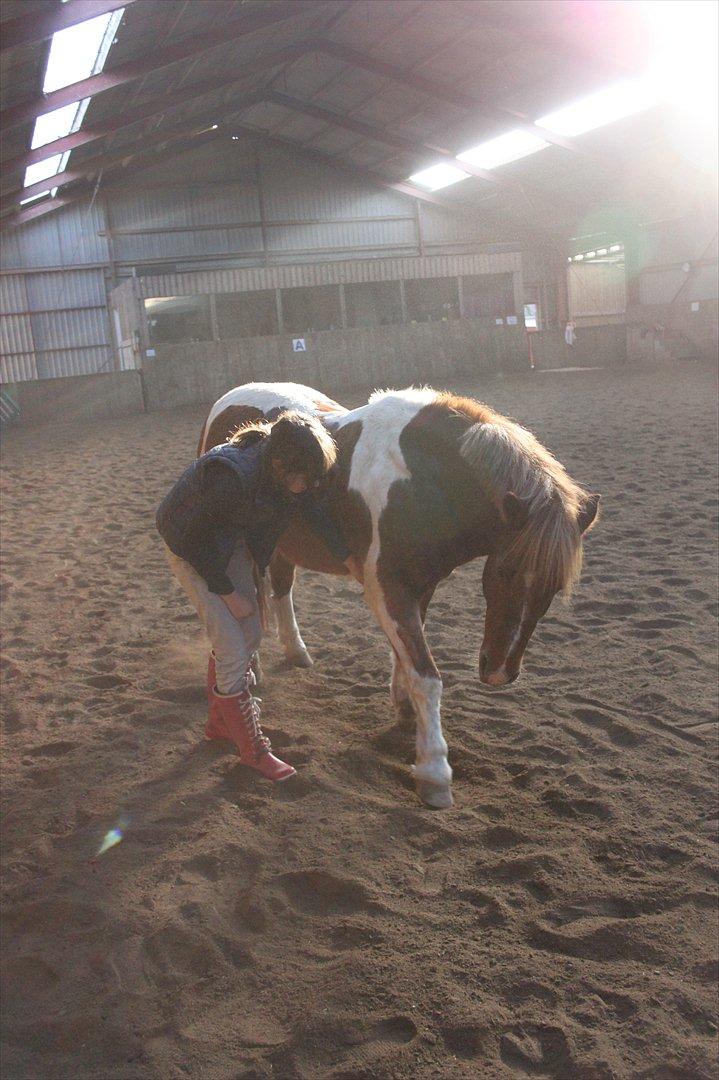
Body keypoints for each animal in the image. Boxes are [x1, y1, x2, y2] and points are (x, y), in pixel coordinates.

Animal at [198, 381, 600, 809]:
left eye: (555, 587)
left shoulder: (420, 586)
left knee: (281, 585)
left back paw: (295, 652)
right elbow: (426, 675)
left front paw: (405, 711)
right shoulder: (387, 590)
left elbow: (405, 657)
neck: (424, 481)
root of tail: (229, 401)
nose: (499, 672)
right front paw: (434, 772)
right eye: (505, 570)